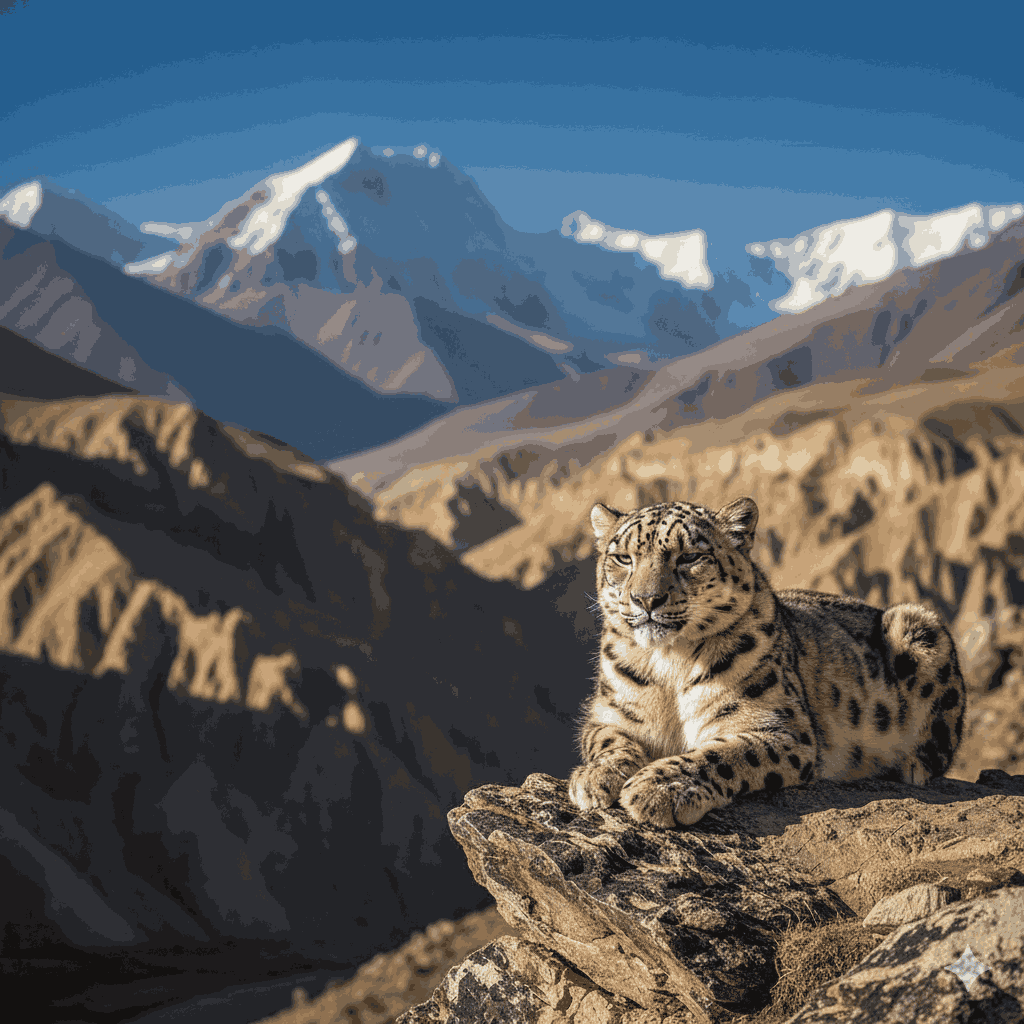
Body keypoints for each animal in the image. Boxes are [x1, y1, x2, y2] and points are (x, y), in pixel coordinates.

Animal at [568, 497, 966, 827]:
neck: (669, 662)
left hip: (919, 625)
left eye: (690, 557)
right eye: (623, 558)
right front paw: (595, 777)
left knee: (942, 744)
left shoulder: (778, 728)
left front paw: (659, 788)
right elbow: (609, 741)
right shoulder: (607, 714)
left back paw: (906, 763)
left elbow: (723, 754)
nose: (646, 599)